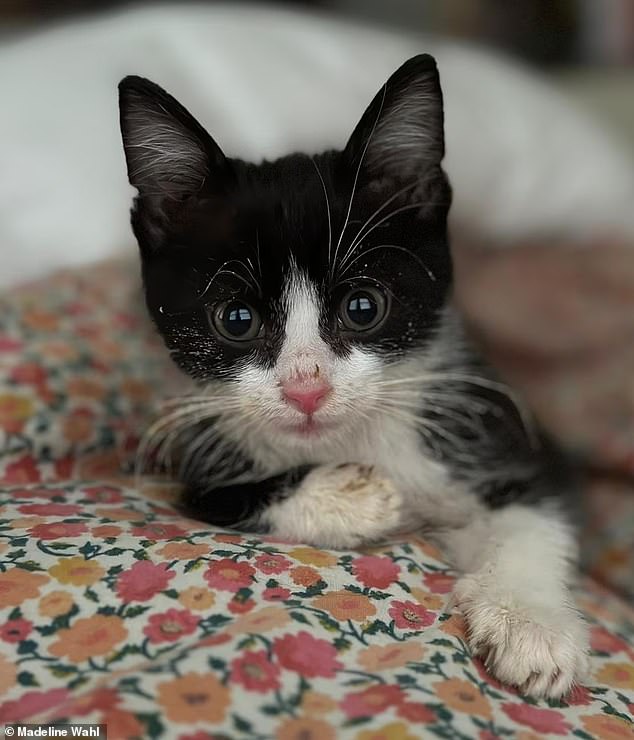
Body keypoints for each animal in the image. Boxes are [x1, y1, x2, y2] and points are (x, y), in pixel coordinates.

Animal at [119, 55, 588, 696]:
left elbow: (533, 513)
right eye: (235, 319)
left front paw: (530, 623)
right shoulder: (196, 450)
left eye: (363, 308)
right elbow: (218, 498)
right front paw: (346, 498)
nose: (306, 388)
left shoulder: (501, 428)